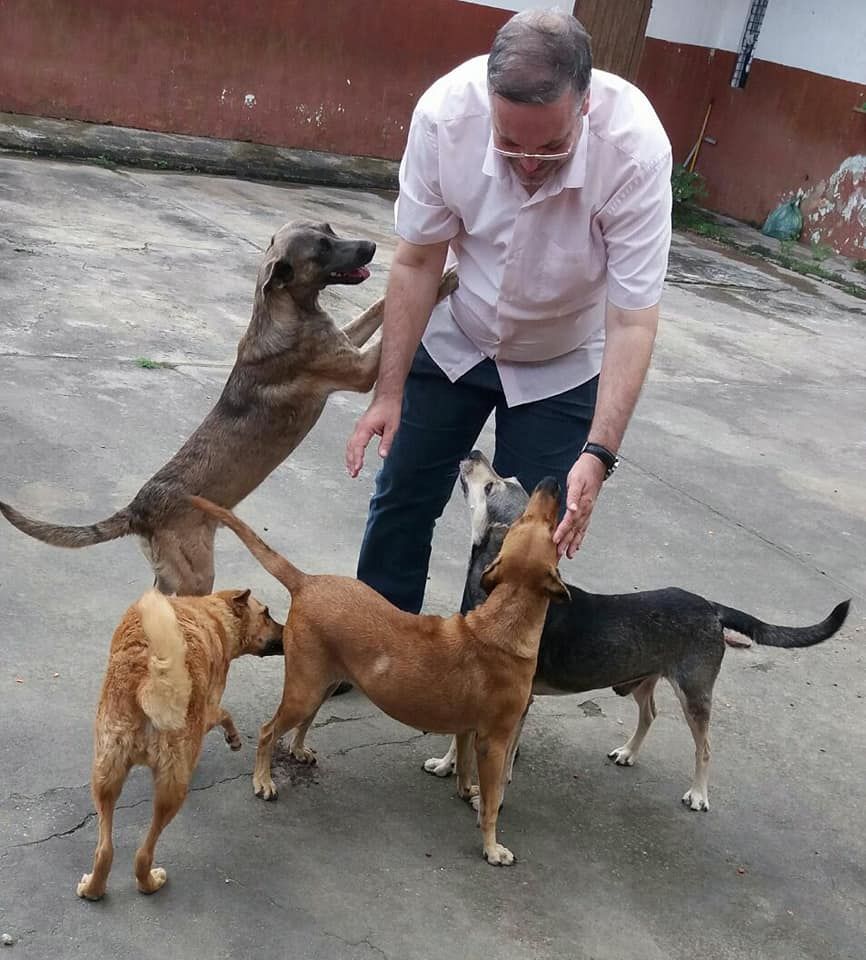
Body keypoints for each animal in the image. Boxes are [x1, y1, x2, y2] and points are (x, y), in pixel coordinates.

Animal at [0, 225, 460, 596]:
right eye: (323, 247)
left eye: (331, 230)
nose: (371, 246)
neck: (284, 311)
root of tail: (138, 510)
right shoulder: (360, 369)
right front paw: (445, 279)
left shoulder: (348, 341)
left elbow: (378, 307)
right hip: (196, 576)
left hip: (171, 577)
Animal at [75, 584, 282, 900]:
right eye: (267, 613)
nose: (287, 632)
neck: (211, 612)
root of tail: (147, 682)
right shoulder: (210, 706)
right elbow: (225, 714)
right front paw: (233, 738)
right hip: (171, 788)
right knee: (143, 854)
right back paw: (150, 882)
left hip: (106, 774)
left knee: (105, 850)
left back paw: (93, 888)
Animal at [189, 480, 568, 872]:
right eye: (537, 525)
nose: (552, 483)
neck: (503, 620)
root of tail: (307, 582)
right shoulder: (494, 742)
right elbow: (492, 804)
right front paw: (493, 848)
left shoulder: (468, 730)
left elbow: (463, 766)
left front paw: (465, 791)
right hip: (304, 690)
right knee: (268, 731)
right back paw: (262, 781)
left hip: (321, 682)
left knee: (300, 724)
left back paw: (298, 749)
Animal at [422, 454, 848, 812]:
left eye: (492, 486)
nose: (475, 453)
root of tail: (712, 607)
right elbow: (459, 736)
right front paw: (447, 764)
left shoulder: (518, 702)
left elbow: (502, 757)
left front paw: (488, 795)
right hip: (643, 678)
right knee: (651, 713)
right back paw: (629, 752)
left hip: (694, 693)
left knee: (705, 746)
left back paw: (699, 794)